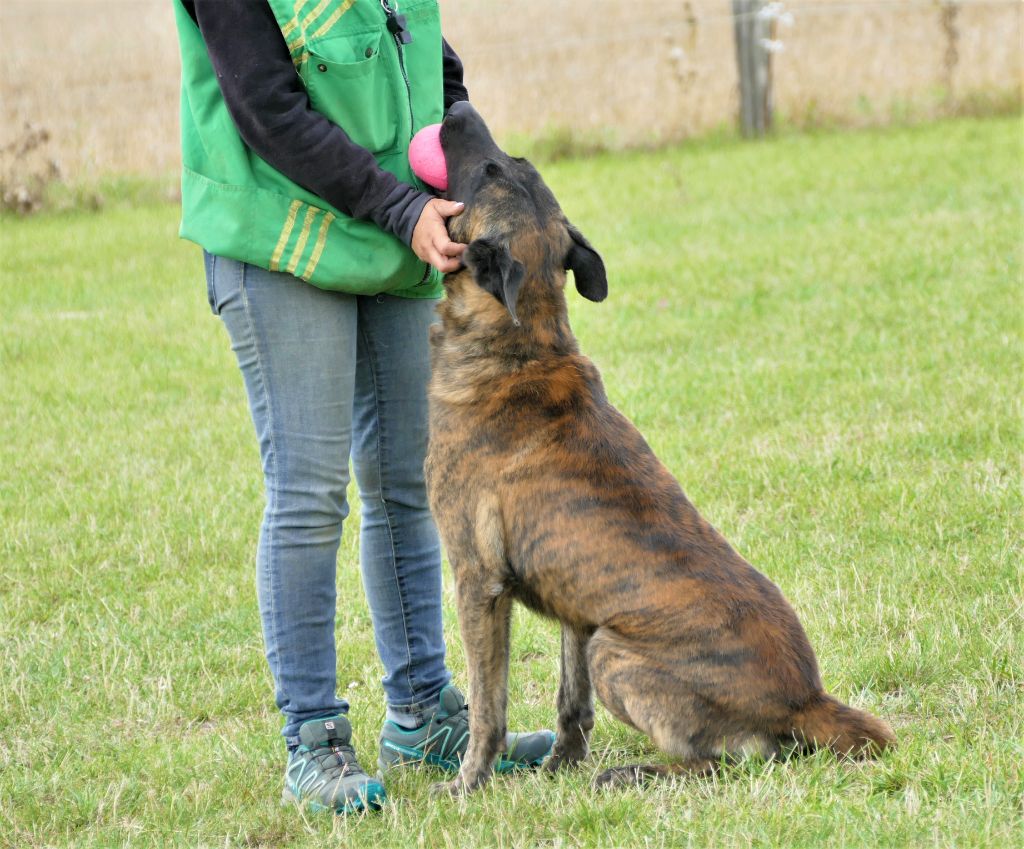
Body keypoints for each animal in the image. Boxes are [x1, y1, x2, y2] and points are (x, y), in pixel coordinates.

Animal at [428, 99, 892, 794]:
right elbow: (571, 704)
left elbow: (489, 706)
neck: (522, 346)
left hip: (615, 652)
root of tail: (806, 699)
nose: (456, 105)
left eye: (488, 171)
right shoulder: (577, 605)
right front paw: (559, 769)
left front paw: (468, 784)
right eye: (510, 163)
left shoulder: (478, 582)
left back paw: (637, 772)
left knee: (718, 762)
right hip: (602, 635)